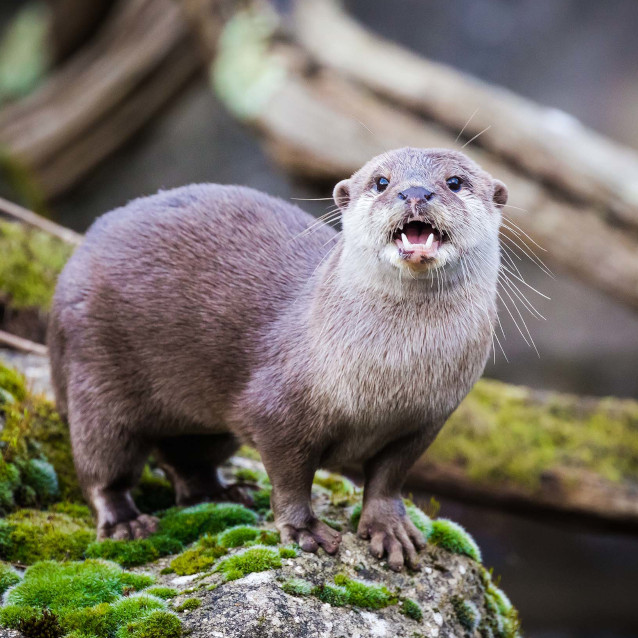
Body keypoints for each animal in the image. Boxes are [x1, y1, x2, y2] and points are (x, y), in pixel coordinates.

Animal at [48, 148, 510, 572]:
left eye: (454, 182)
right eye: (381, 182)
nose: (414, 192)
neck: (391, 380)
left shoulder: (426, 421)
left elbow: (388, 479)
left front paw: (390, 529)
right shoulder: (278, 410)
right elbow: (290, 478)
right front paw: (304, 531)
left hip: (204, 422)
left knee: (185, 458)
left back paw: (222, 493)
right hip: (95, 375)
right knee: (102, 464)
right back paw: (126, 523)